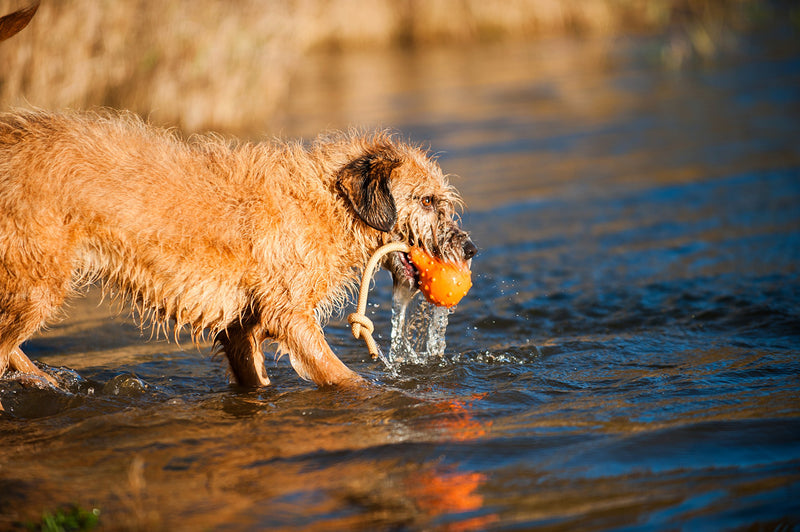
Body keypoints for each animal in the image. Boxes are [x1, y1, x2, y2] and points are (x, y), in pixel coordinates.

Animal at [0, 108, 476, 392]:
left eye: (443, 201)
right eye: (427, 201)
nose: (470, 248)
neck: (328, 204)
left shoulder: (241, 329)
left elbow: (253, 374)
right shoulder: (292, 317)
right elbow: (342, 375)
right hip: (36, 286)